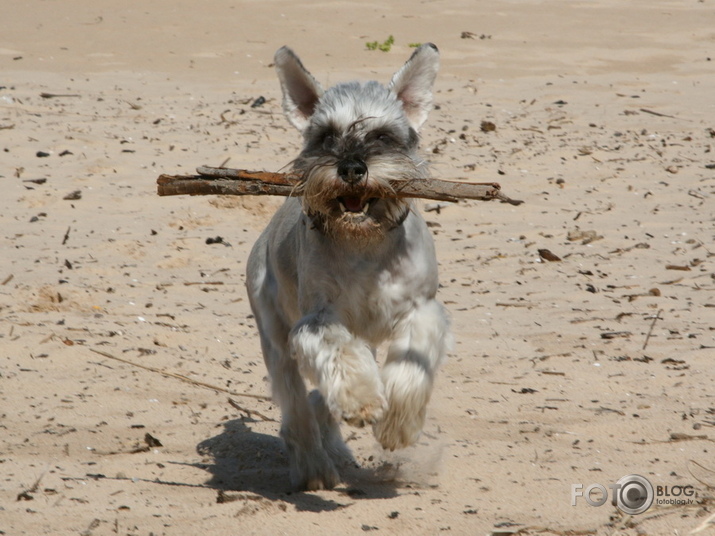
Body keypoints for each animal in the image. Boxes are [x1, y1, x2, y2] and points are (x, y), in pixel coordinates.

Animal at [246, 44, 448, 492]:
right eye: (326, 136)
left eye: (383, 136)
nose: (352, 168)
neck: (364, 243)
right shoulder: (319, 320)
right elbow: (338, 354)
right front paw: (361, 400)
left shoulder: (420, 310)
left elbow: (409, 368)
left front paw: (396, 427)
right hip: (275, 339)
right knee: (296, 406)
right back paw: (313, 467)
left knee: (318, 398)